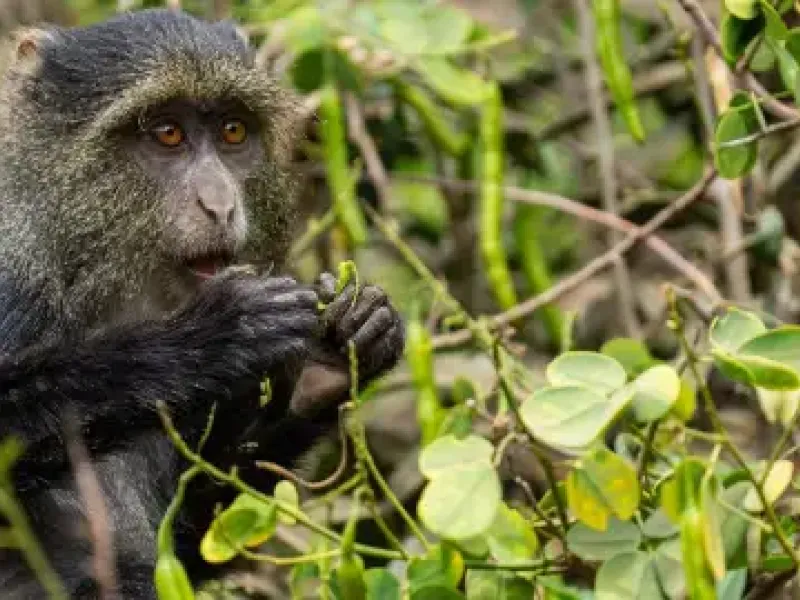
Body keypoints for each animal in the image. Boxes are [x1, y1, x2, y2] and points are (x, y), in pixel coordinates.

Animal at [0, 9, 405, 599]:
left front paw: (337, 353)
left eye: (232, 131)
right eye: (167, 133)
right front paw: (214, 336)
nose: (220, 204)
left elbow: (203, 538)